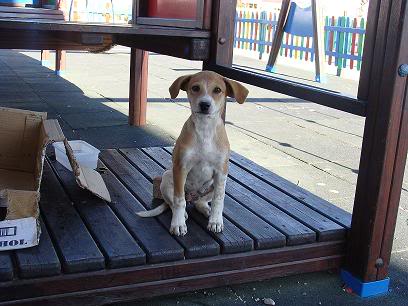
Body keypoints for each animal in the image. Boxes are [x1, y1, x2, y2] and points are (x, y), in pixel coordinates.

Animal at [137, 70, 249, 235]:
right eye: (195, 88)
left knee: (200, 202)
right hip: (167, 178)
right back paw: (182, 214)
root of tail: (193, 197)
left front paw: (216, 221)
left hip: (217, 184)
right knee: (174, 202)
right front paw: (178, 224)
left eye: (217, 90)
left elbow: (218, 199)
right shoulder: (181, 168)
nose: (204, 104)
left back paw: (206, 209)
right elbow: (178, 200)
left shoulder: (221, 172)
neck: (205, 130)